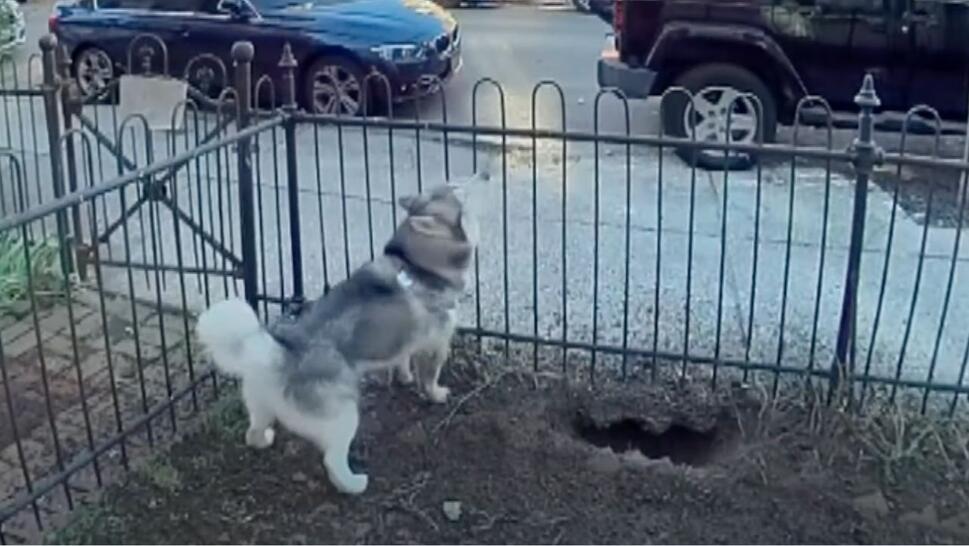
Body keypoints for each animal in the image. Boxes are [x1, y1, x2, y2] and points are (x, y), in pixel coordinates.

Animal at [196, 180, 480, 492]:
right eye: (459, 190)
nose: (481, 176)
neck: (417, 265)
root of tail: (280, 353)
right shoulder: (435, 343)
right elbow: (429, 377)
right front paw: (436, 394)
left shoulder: (406, 340)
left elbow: (401, 360)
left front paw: (403, 377)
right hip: (343, 413)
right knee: (332, 459)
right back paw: (352, 483)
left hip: (260, 405)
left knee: (253, 432)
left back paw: (263, 440)